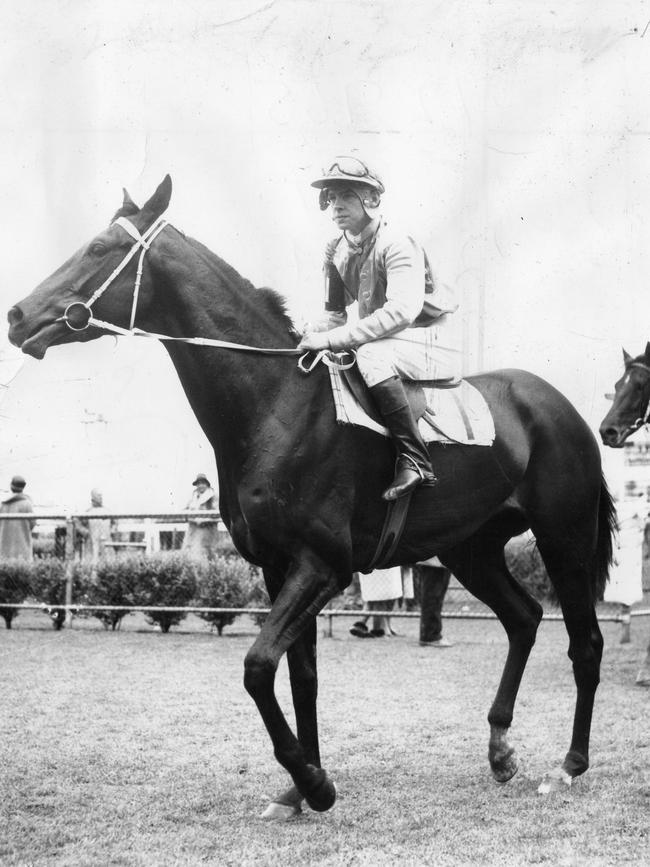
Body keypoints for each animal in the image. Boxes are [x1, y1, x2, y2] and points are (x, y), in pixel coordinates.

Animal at [7, 178, 612, 820]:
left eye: (98, 247)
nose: (17, 315)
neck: (277, 404)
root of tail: (560, 406)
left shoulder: (323, 565)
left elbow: (257, 668)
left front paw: (314, 783)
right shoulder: (278, 568)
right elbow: (301, 677)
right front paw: (300, 788)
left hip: (564, 539)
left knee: (585, 643)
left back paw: (569, 766)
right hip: (471, 550)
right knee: (523, 619)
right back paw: (500, 750)